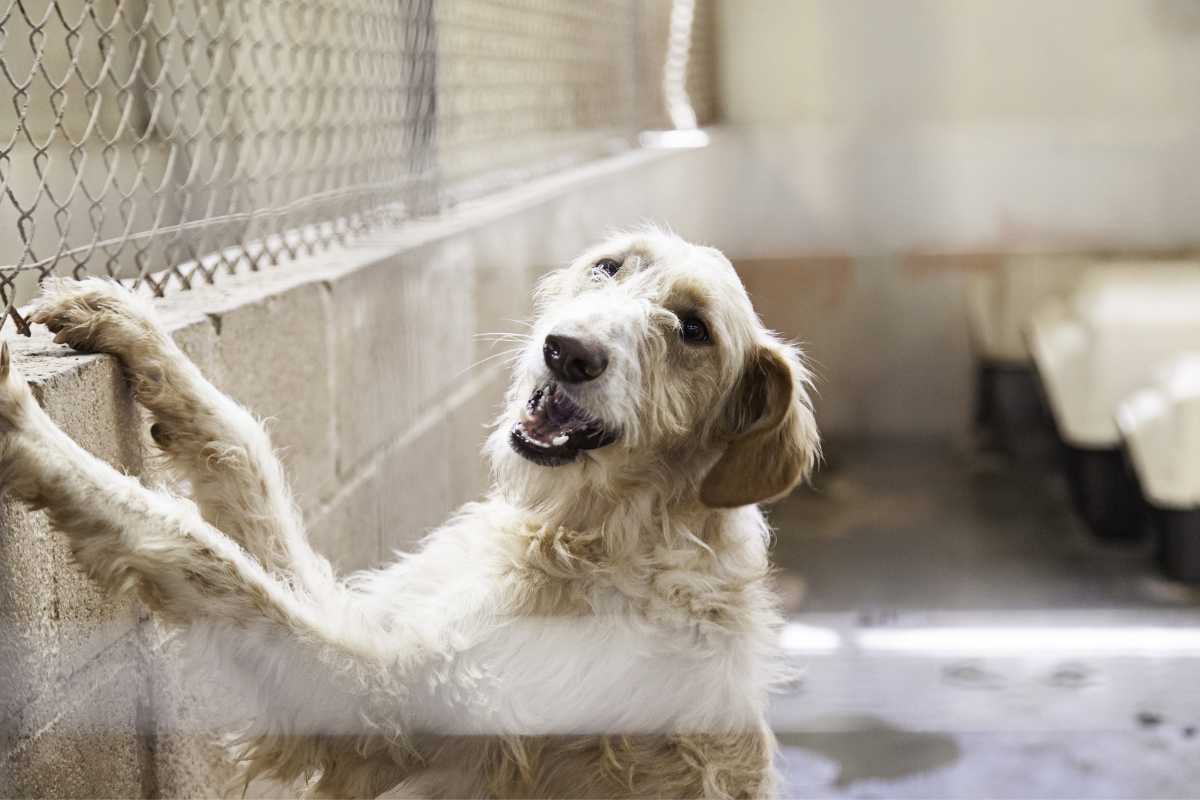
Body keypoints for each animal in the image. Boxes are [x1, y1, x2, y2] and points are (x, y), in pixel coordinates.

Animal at [0, 227, 816, 796]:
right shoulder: (377, 621)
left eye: (693, 329)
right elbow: (239, 453)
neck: (593, 530)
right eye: (609, 266)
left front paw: (28, 431)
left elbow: (203, 556)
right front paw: (130, 326)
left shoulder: (379, 703)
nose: (569, 351)